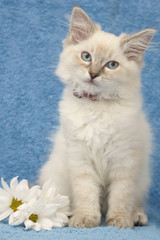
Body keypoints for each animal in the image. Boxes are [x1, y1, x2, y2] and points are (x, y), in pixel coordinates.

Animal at [38, 6, 155, 229]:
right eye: (86, 57)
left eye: (111, 65)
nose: (93, 74)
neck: (96, 105)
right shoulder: (80, 159)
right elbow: (86, 194)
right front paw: (85, 219)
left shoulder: (124, 161)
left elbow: (121, 196)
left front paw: (119, 221)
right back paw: (67, 215)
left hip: (143, 179)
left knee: (135, 201)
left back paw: (136, 217)